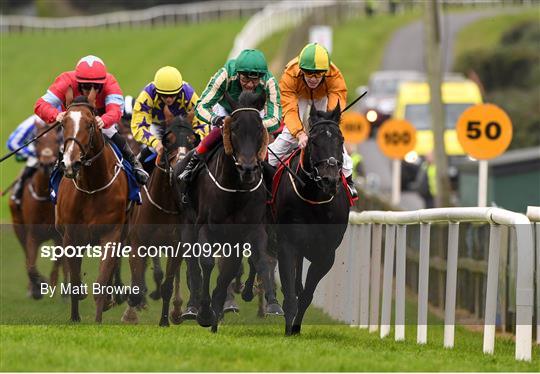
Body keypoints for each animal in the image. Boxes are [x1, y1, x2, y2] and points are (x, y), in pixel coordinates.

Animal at [8, 121, 66, 300]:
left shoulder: (59, 235)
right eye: (37, 141)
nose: (47, 162)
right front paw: (38, 286)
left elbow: (59, 261)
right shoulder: (32, 234)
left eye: (57, 140)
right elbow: (30, 265)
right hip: (18, 227)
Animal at [56, 94, 130, 324]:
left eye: (90, 124)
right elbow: (74, 280)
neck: (92, 187)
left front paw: (97, 319)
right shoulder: (70, 236)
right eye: (63, 124)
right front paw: (75, 317)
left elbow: (103, 279)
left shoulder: (111, 234)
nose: (70, 163)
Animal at [167, 92, 280, 332]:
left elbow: (256, 261)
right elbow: (207, 263)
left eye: (259, 128)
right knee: (193, 263)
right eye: (234, 128)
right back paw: (193, 307)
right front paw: (204, 312)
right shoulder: (205, 227)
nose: (248, 168)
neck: (235, 189)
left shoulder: (252, 230)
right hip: (187, 225)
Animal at [270, 103, 350, 336]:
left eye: (341, 140)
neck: (315, 200)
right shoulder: (287, 244)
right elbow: (289, 292)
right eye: (313, 140)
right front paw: (288, 329)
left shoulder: (326, 253)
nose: (329, 179)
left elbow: (306, 294)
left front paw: (296, 328)